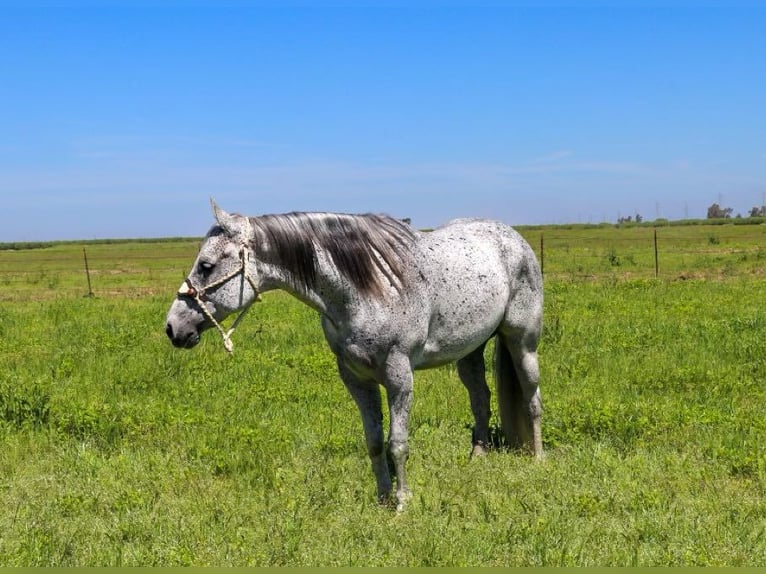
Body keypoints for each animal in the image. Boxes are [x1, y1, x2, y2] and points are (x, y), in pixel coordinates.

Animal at [165, 201, 544, 512]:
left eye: (206, 265)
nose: (173, 328)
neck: (368, 287)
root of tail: (514, 238)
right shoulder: (356, 378)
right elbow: (374, 442)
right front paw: (382, 499)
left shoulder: (399, 376)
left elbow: (397, 443)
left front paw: (402, 504)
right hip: (470, 351)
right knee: (480, 397)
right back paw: (477, 456)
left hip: (522, 343)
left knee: (532, 398)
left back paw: (539, 457)